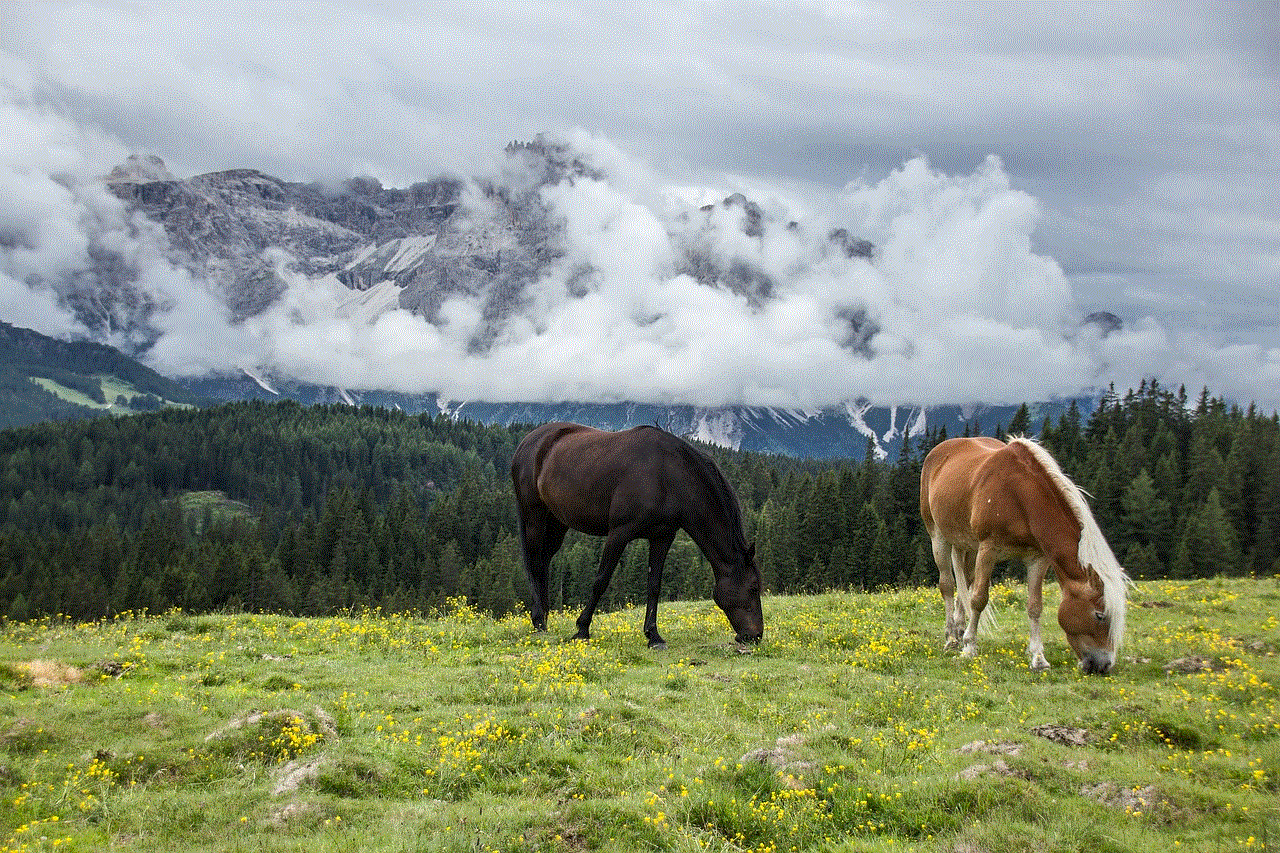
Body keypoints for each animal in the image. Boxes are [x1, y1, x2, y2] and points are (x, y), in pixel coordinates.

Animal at [509, 422, 762, 648]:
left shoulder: (662, 537)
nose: (755, 635)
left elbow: (654, 586)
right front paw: (582, 629)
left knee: (543, 563)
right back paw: (539, 622)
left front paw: (654, 636)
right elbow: (601, 581)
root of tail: (528, 442)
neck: (667, 476)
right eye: (753, 588)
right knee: (534, 564)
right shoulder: (619, 533)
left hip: (557, 522)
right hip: (534, 515)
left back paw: (544, 620)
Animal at [921, 438, 1131, 671]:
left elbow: (1035, 606)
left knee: (964, 582)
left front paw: (1038, 658)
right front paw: (969, 648)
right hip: (939, 537)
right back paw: (951, 638)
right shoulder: (988, 550)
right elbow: (978, 599)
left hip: (968, 545)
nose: (1104, 665)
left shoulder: (1037, 559)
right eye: (1100, 615)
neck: (1019, 496)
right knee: (948, 585)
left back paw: (958, 631)